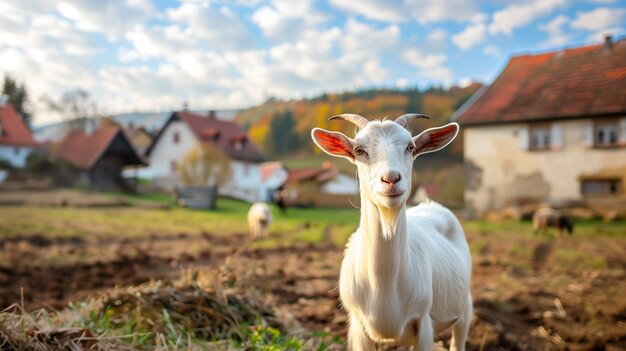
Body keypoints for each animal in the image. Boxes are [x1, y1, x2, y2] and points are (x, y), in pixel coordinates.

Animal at [310, 114, 470, 350]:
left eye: (410, 147)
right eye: (359, 150)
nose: (391, 179)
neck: (384, 285)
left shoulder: (424, 322)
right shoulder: (358, 327)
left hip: (465, 307)